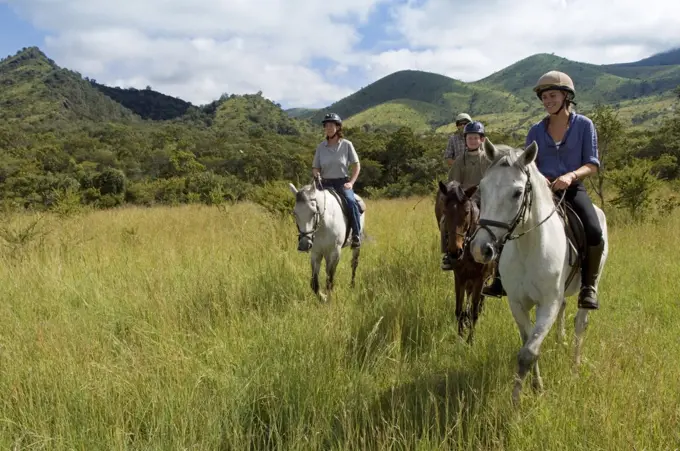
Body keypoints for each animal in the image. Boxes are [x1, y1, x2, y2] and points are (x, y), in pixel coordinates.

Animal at [436, 180, 494, 342]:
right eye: (445, 211)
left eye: (467, 212)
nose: (455, 252)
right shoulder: (460, 277)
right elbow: (459, 309)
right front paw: (460, 337)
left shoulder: (480, 279)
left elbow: (475, 311)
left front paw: (470, 341)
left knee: (479, 303)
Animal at [468, 141, 612, 406]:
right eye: (482, 188)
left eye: (517, 193)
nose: (480, 249)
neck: (529, 247)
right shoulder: (518, 303)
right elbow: (527, 343)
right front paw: (535, 386)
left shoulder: (548, 304)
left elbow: (528, 352)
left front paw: (517, 401)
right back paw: (560, 340)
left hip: (590, 286)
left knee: (580, 323)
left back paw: (575, 367)